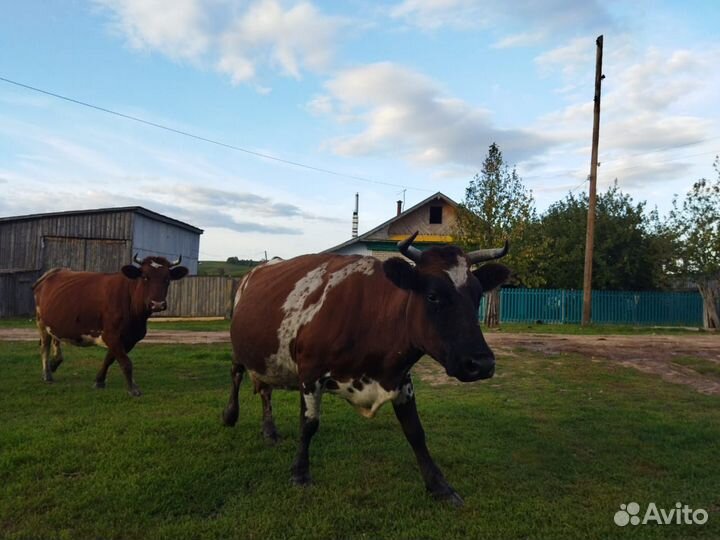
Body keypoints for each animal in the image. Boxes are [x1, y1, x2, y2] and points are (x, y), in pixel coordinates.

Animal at [32, 255, 188, 396]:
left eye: (167, 278)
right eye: (145, 277)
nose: (157, 304)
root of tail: (53, 272)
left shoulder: (130, 338)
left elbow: (110, 359)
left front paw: (99, 381)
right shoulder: (111, 335)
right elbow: (126, 362)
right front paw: (133, 388)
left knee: (55, 339)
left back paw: (54, 363)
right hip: (41, 322)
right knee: (44, 347)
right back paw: (47, 374)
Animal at [223, 232, 509, 505]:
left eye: (477, 296)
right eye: (433, 296)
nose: (481, 364)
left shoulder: (401, 378)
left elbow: (415, 432)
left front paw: (439, 486)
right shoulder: (310, 373)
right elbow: (309, 424)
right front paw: (300, 473)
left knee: (265, 390)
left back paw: (269, 430)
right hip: (239, 346)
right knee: (237, 375)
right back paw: (230, 416)